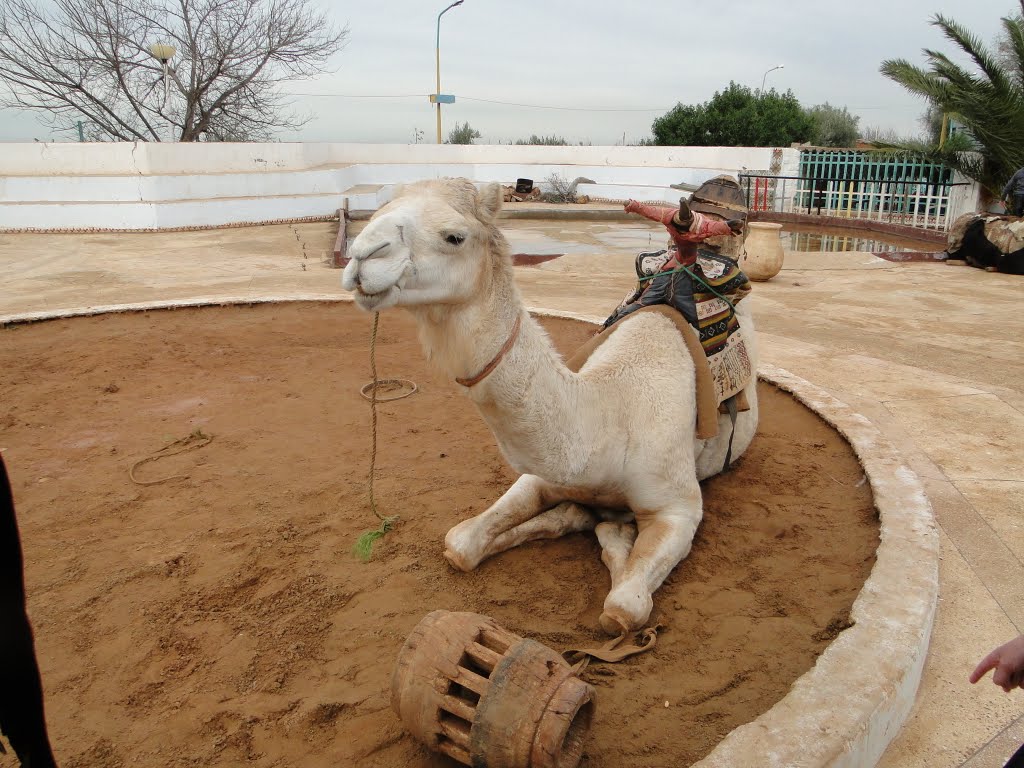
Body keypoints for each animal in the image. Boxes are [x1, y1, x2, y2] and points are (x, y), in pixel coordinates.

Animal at [346, 177, 761, 634]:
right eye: (376, 213)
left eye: (454, 236)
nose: (361, 255)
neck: (609, 416)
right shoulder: (542, 475)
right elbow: (460, 544)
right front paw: (578, 517)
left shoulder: (678, 508)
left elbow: (622, 608)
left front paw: (613, 532)